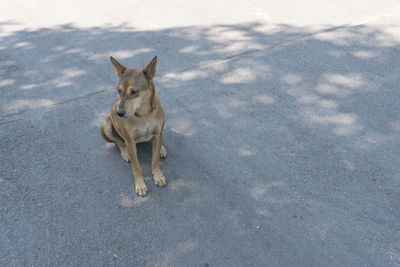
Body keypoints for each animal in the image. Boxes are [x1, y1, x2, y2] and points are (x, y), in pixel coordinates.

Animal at [101, 56, 169, 197]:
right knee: (118, 142)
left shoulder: (157, 133)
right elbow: (136, 167)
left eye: (134, 92)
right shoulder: (130, 142)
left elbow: (154, 160)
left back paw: (162, 148)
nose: (119, 113)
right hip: (106, 124)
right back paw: (124, 153)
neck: (144, 114)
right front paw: (140, 184)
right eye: (119, 91)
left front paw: (158, 175)